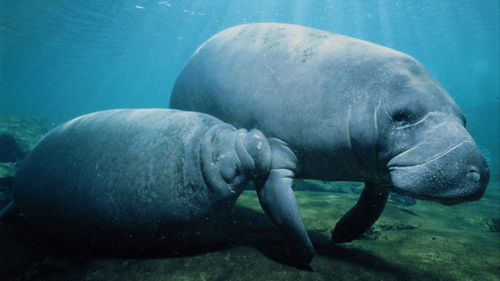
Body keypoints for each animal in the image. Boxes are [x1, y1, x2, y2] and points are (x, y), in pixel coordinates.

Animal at [170, 23, 490, 244]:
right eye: (401, 116)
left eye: (463, 119)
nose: (480, 173)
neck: (361, 100)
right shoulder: (276, 149)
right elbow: (282, 207)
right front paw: (305, 252)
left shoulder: (377, 168)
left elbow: (372, 205)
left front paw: (342, 234)